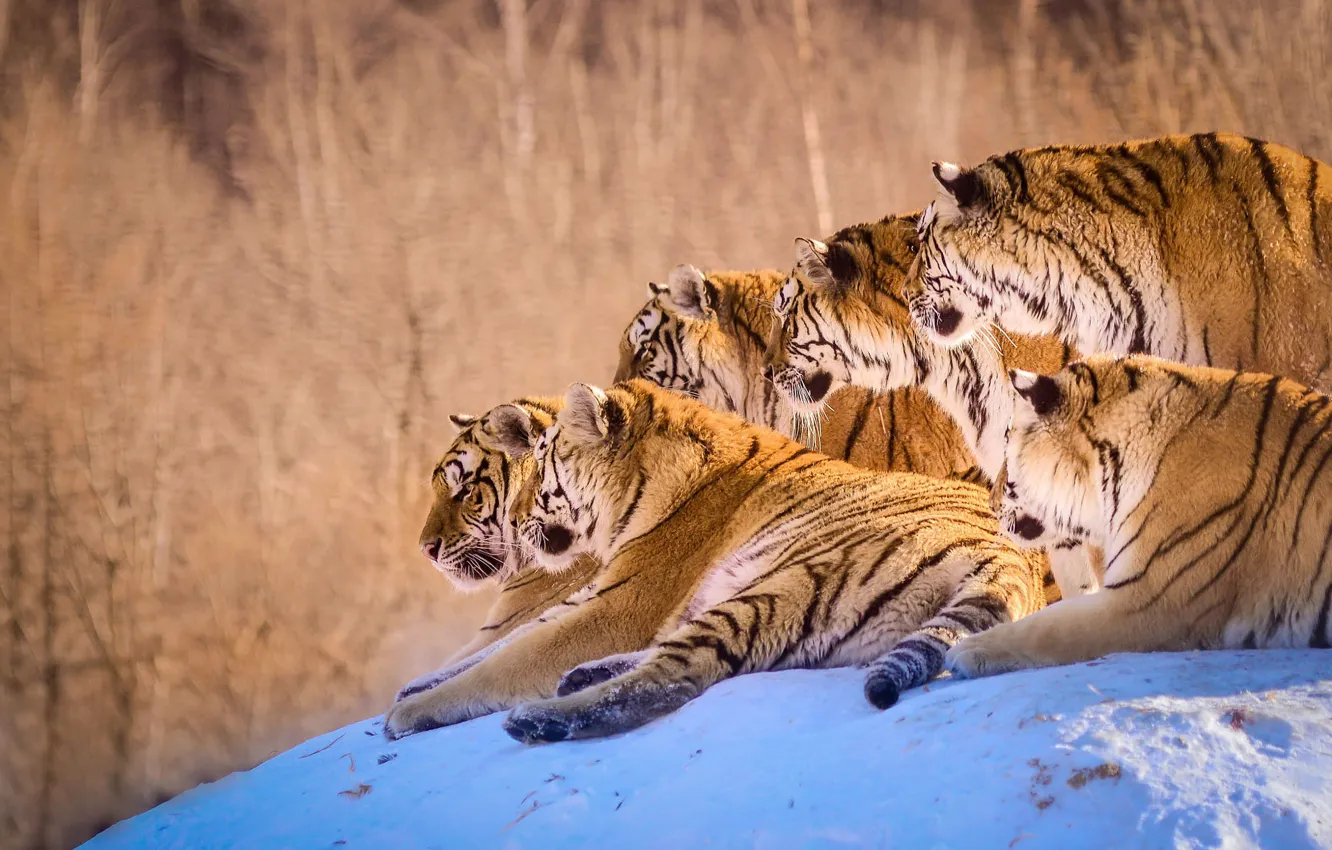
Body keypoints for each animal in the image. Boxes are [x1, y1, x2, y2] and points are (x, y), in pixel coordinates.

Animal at [496, 378, 1049, 744]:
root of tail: (1009, 561)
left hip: (788, 583)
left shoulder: (622, 604)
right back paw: (580, 676)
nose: (514, 518)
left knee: (671, 677)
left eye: (541, 464)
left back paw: (538, 717)